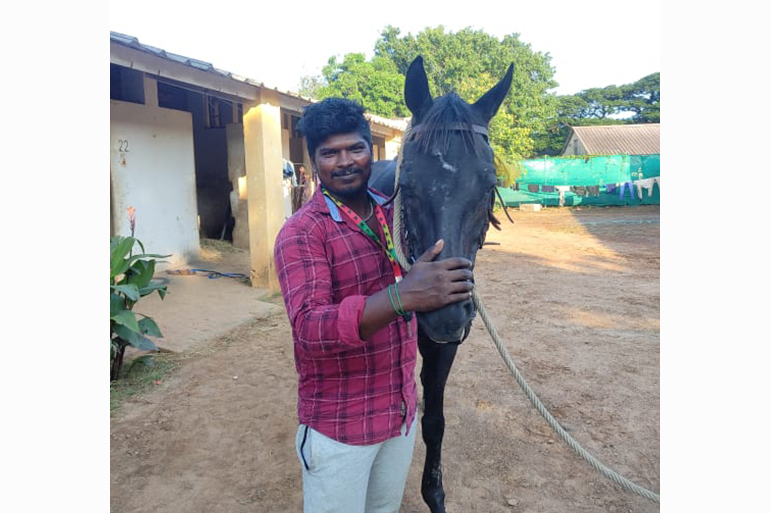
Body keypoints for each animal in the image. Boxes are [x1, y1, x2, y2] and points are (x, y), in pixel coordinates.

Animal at [370, 56, 513, 513]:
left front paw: (434, 492)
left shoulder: (444, 343)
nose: (445, 313)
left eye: (489, 185)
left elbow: (434, 419)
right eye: (409, 184)